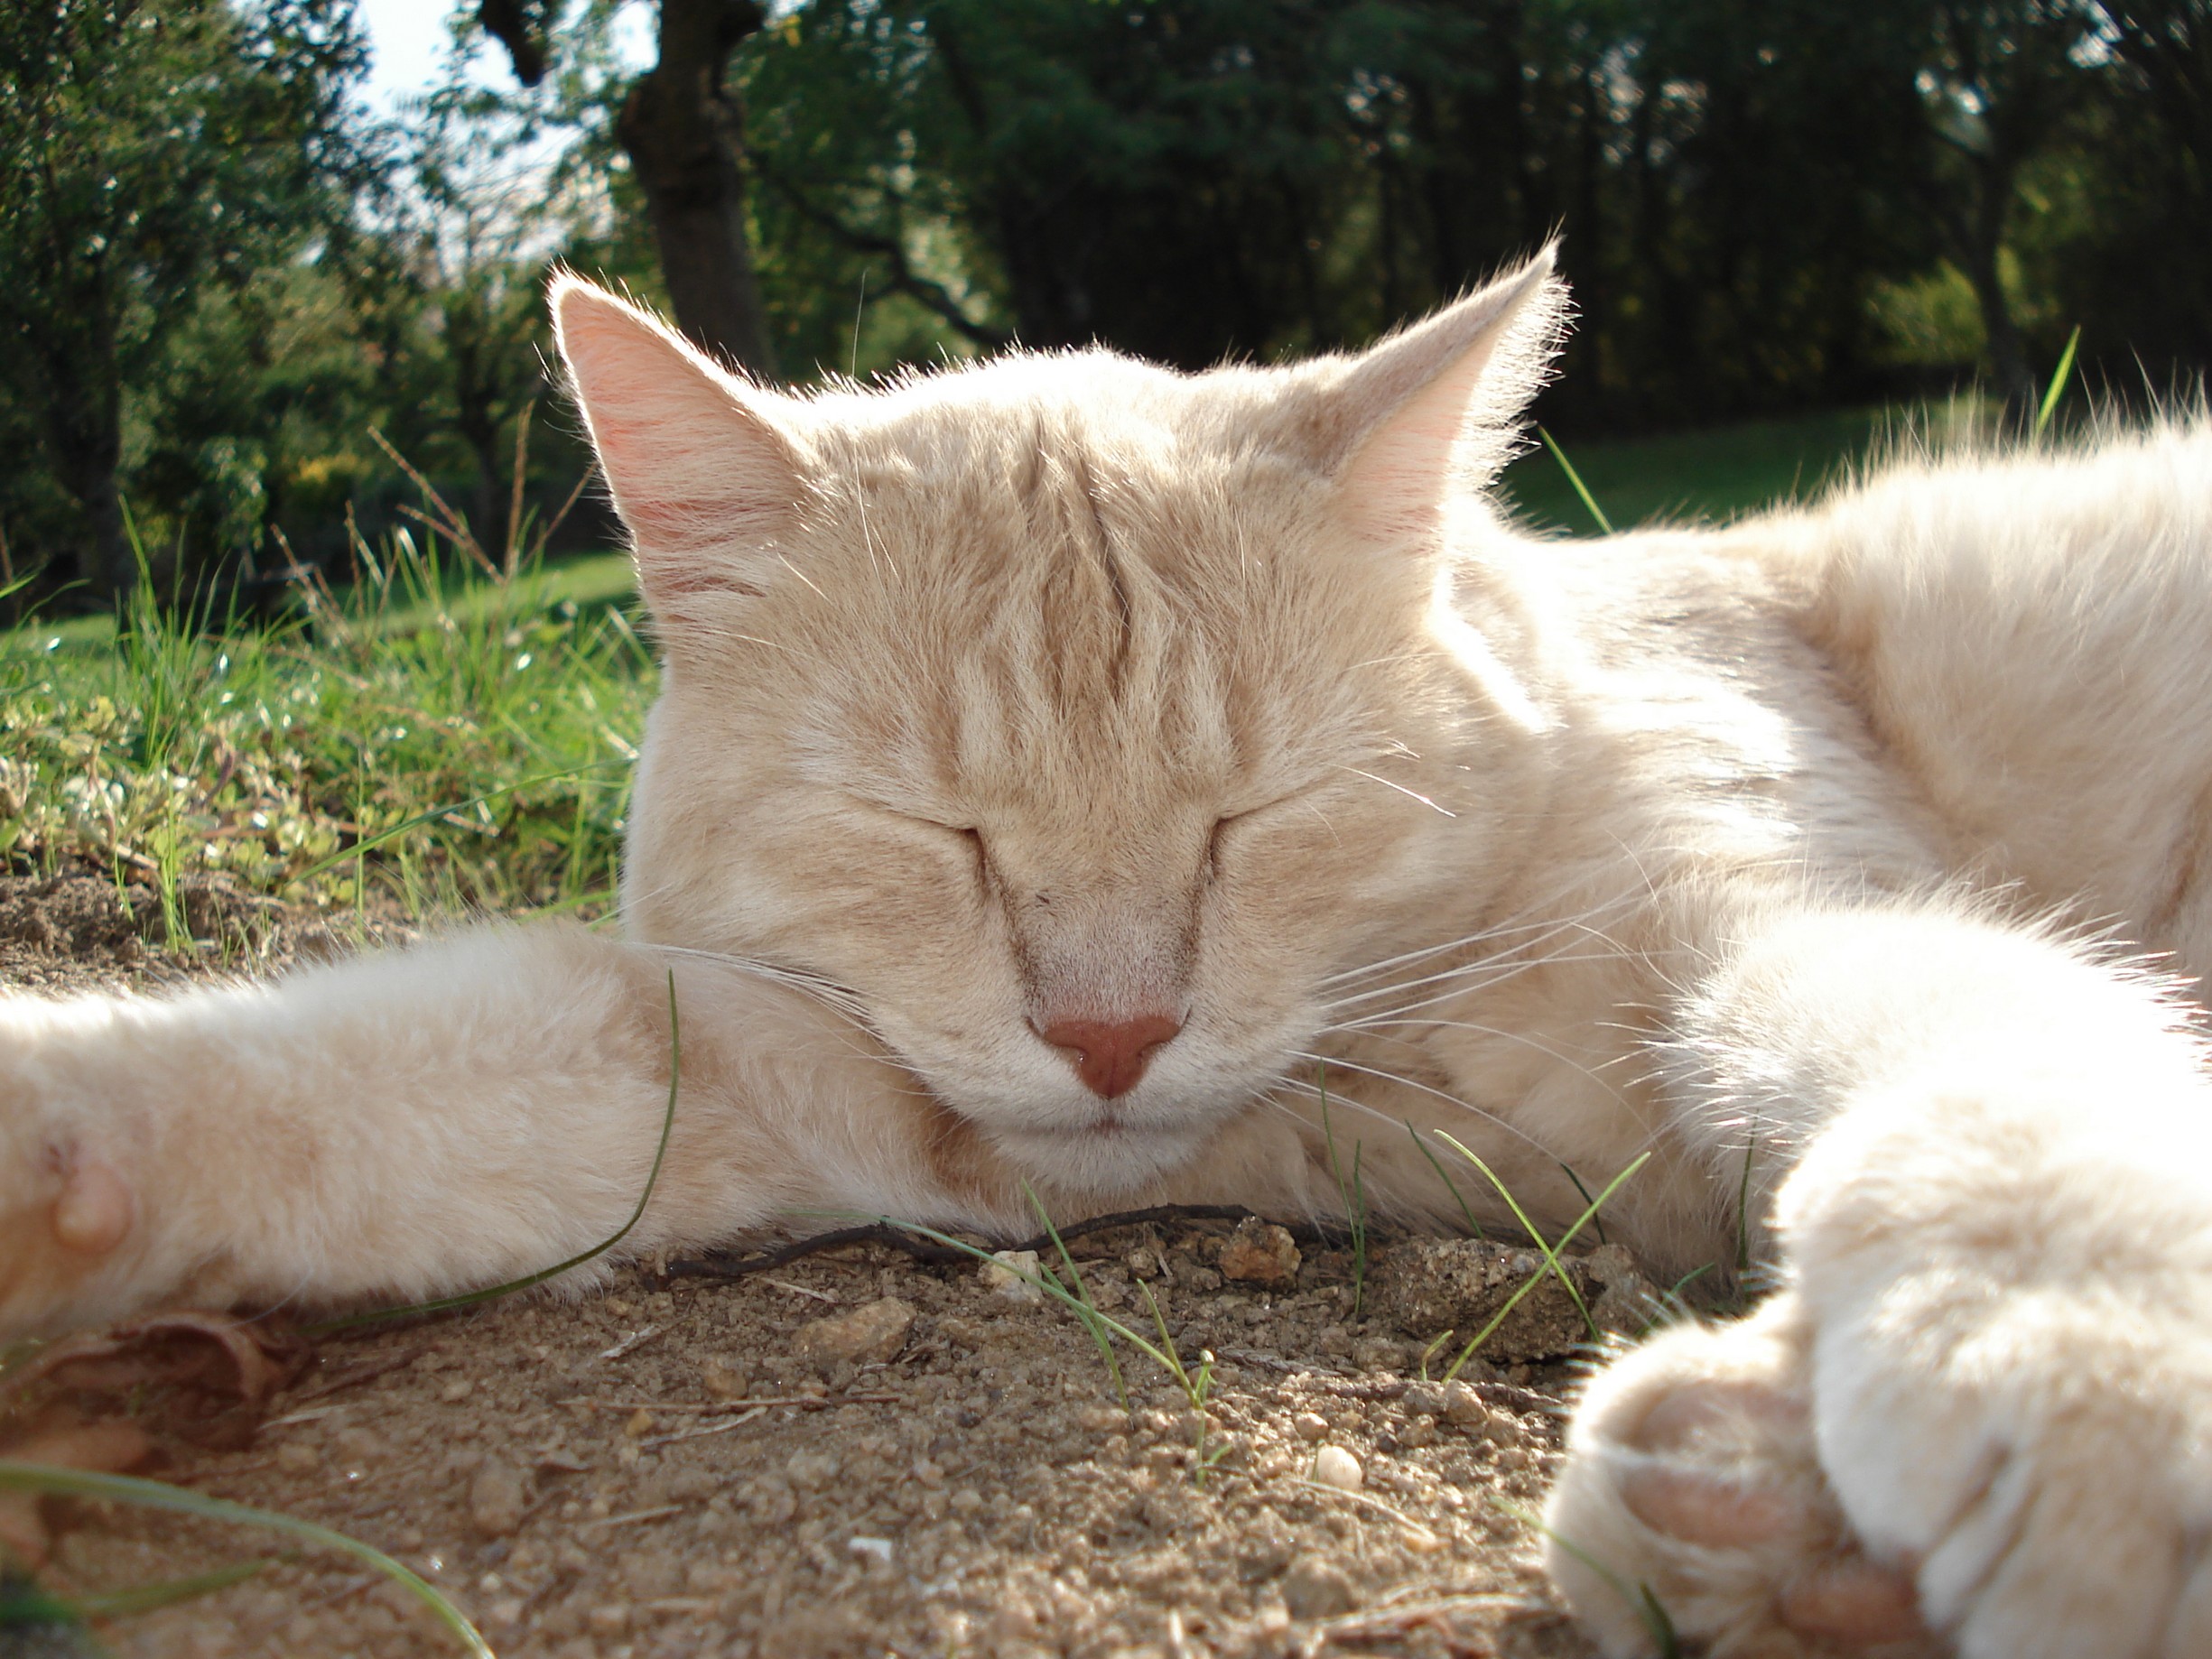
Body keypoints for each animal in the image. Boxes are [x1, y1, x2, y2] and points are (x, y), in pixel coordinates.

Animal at [4, 249, 2212, 1659]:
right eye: (940, 840)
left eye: (1251, 816)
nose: (1113, 1029)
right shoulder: (792, 1073)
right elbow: (394, 1069)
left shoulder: (1775, 925)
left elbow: (1984, 1062)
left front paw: (2097, 1360)